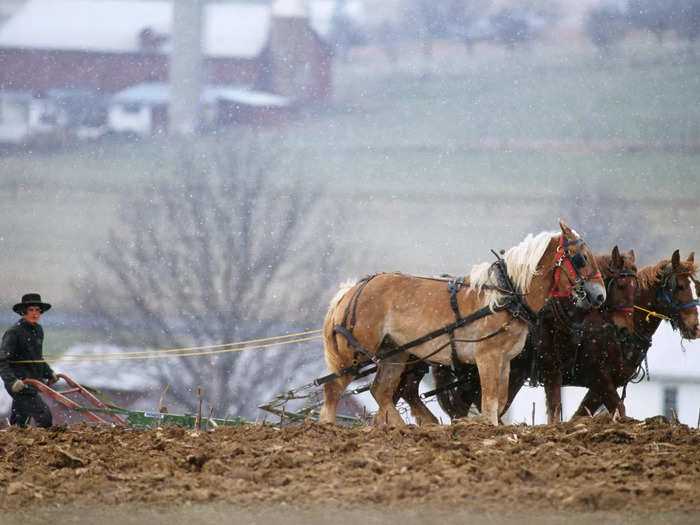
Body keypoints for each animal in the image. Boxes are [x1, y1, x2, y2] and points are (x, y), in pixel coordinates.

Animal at [320, 221, 604, 426]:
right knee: (333, 388)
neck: (506, 295)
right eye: (581, 258)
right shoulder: (487, 357)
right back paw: (327, 427)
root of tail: (351, 290)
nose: (600, 295)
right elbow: (490, 402)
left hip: (394, 353)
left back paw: (400, 429)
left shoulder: (504, 360)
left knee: (381, 391)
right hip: (354, 354)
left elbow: (499, 400)